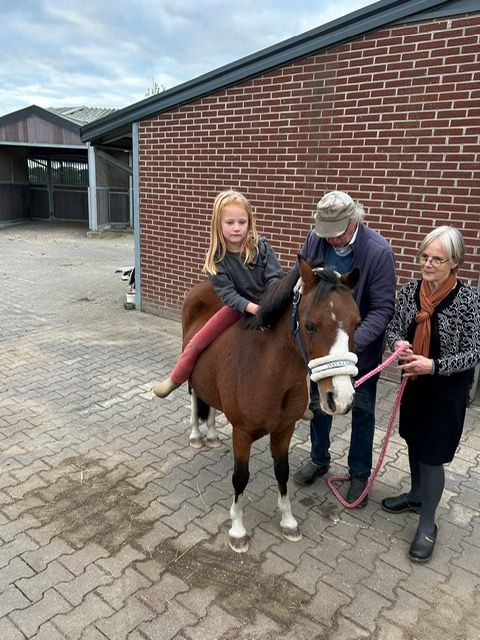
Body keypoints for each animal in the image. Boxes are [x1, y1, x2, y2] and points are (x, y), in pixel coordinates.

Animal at [182, 256, 360, 552]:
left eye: (356, 323)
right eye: (309, 325)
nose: (341, 398)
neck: (267, 368)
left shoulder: (284, 430)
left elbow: (282, 471)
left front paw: (288, 521)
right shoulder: (242, 433)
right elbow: (240, 477)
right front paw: (238, 529)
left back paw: (212, 434)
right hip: (192, 373)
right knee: (196, 397)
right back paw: (197, 435)